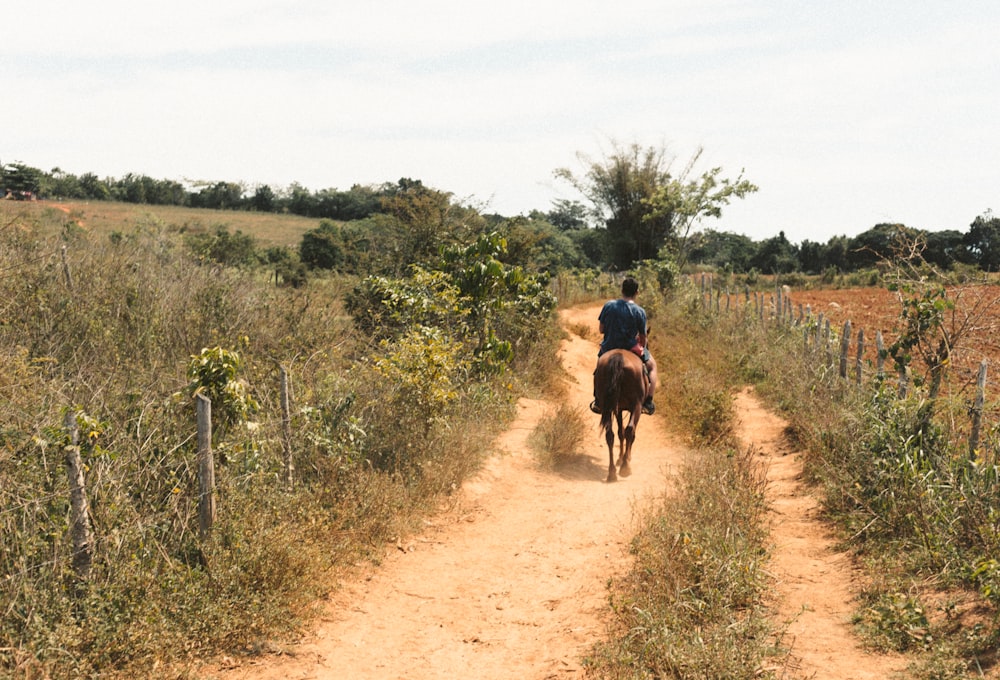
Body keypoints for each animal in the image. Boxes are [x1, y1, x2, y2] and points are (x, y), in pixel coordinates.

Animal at [592, 350, 648, 484]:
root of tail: (619, 357)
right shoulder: (632, 408)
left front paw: (620, 458)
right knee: (630, 430)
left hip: (606, 405)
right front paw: (625, 458)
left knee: (610, 435)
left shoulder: (618, 408)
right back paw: (625, 468)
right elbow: (629, 433)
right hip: (637, 405)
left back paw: (612, 473)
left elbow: (620, 433)